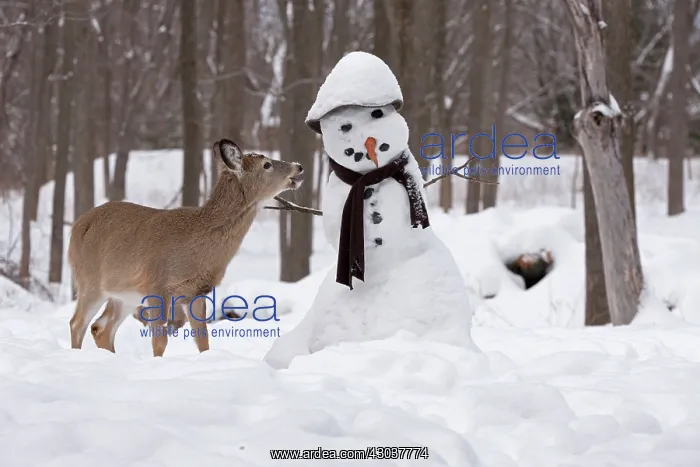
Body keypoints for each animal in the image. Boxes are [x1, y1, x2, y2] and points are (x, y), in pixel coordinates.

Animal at [67, 138, 304, 357]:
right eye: (267, 164)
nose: (299, 166)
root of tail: (77, 227)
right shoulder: (156, 284)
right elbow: (160, 341)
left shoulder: (196, 292)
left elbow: (203, 339)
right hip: (89, 280)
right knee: (77, 323)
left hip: (125, 294)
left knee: (100, 328)